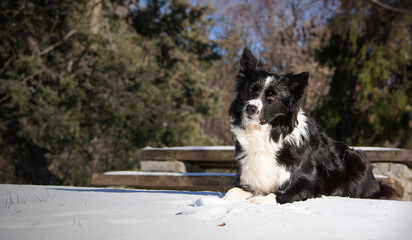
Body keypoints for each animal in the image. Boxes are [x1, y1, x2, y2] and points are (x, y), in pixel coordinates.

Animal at [224, 47, 398, 204]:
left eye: (272, 98)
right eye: (250, 90)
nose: (250, 108)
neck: (268, 134)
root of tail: (376, 184)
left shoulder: (306, 183)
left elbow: (279, 193)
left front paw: (259, 200)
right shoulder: (247, 178)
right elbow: (231, 192)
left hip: (357, 160)